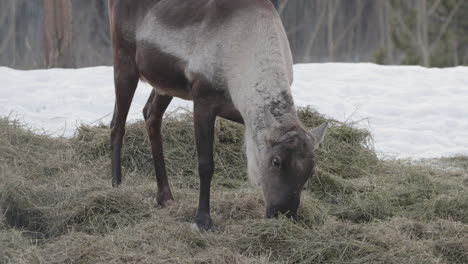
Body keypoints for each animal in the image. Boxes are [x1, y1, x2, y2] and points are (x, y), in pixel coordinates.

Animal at [109, 0, 330, 231]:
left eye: (311, 171)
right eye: (276, 161)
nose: (283, 213)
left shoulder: (241, 113)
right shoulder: (203, 101)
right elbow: (206, 164)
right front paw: (202, 221)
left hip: (164, 84)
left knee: (150, 114)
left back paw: (165, 196)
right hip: (124, 58)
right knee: (117, 123)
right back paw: (116, 185)